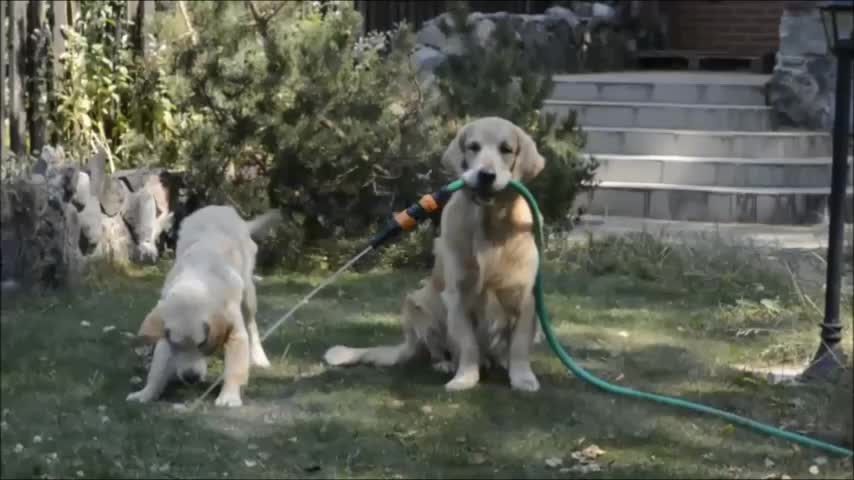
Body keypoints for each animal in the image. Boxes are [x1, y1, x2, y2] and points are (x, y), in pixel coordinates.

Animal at [127, 204, 282, 406]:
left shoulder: (235, 329)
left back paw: (258, 358)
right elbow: (158, 368)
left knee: (251, 326)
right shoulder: (166, 332)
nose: (190, 378)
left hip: (248, 294)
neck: (198, 279)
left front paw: (229, 396)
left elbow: (235, 366)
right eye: (177, 345)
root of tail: (220, 208)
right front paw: (146, 393)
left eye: (201, 344)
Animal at [324, 118, 544, 392]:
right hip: (416, 305)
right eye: (473, 147)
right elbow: (467, 344)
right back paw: (446, 364)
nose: (486, 175)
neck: (489, 224)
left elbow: (519, 345)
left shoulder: (524, 296)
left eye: (506, 149)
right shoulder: (457, 295)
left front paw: (523, 377)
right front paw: (465, 378)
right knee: (437, 350)